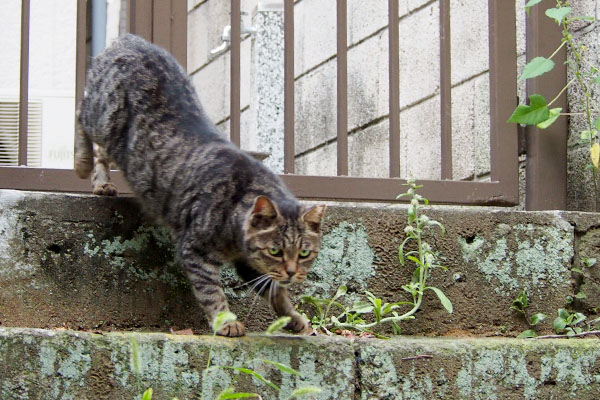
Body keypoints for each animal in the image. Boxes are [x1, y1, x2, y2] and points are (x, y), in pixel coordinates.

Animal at [78, 32, 328, 336]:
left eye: (304, 253)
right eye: (275, 251)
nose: (293, 272)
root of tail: (129, 39)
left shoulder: (250, 265)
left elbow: (277, 294)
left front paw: (294, 319)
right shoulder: (195, 251)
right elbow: (212, 292)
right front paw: (227, 322)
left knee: (100, 148)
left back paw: (101, 183)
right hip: (103, 117)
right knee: (80, 114)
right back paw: (82, 163)